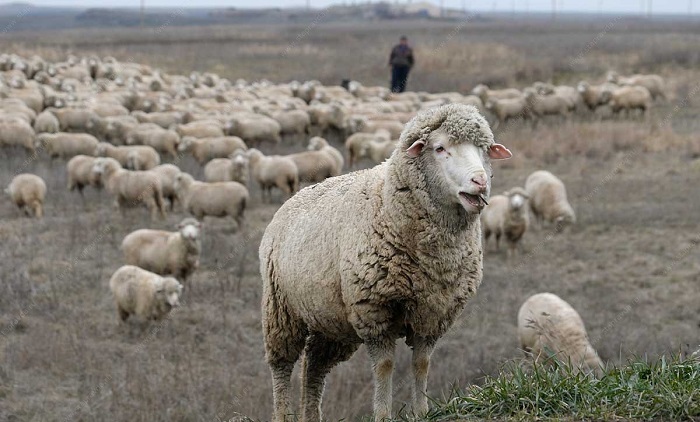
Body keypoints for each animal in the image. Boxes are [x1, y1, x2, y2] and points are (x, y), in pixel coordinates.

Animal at [260, 103, 512, 422]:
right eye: (440, 148)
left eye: (483, 150)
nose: (480, 182)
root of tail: (295, 197)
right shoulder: (374, 310)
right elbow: (385, 366)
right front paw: (382, 414)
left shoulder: (433, 312)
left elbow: (421, 363)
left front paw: (421, 411)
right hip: (281, 309)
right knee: (282, 365)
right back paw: (282, 413)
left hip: (330, 321)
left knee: (313, 368)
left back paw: (312, 415)